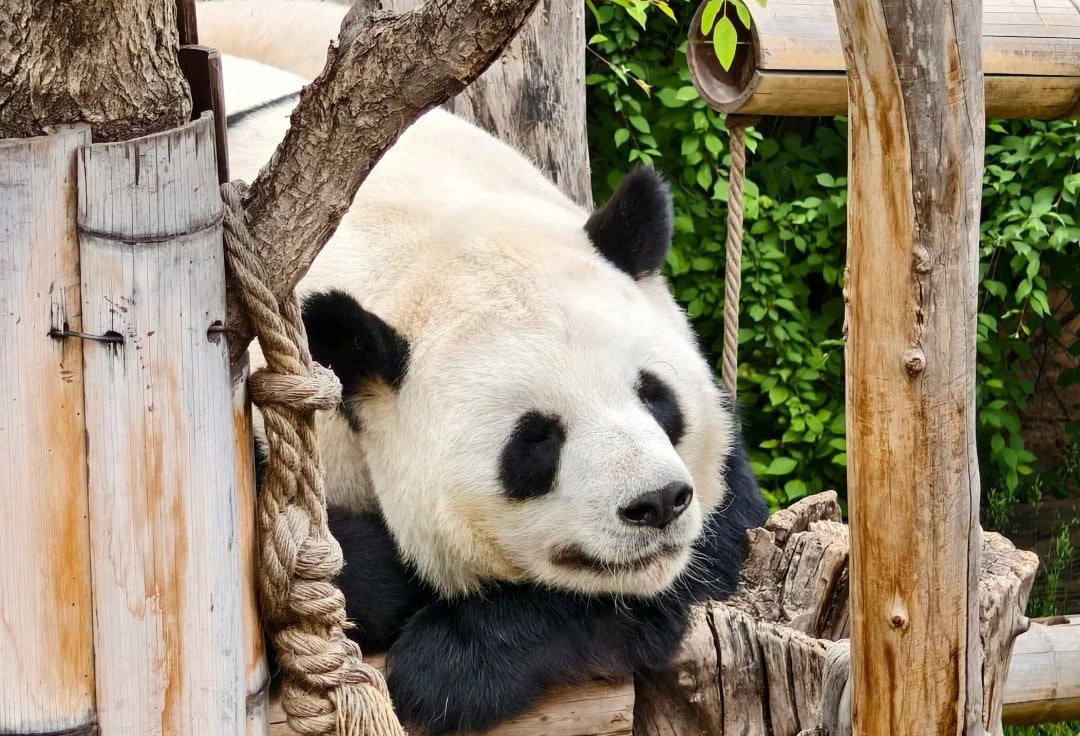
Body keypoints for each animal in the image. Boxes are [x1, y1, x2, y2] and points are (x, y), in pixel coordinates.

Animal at [207, 3, 770, 732]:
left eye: (655, 397)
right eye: (536, 440)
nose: (657, 504)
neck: (412, 239)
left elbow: (709, 544)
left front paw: (454, 664)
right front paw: (398, 585)